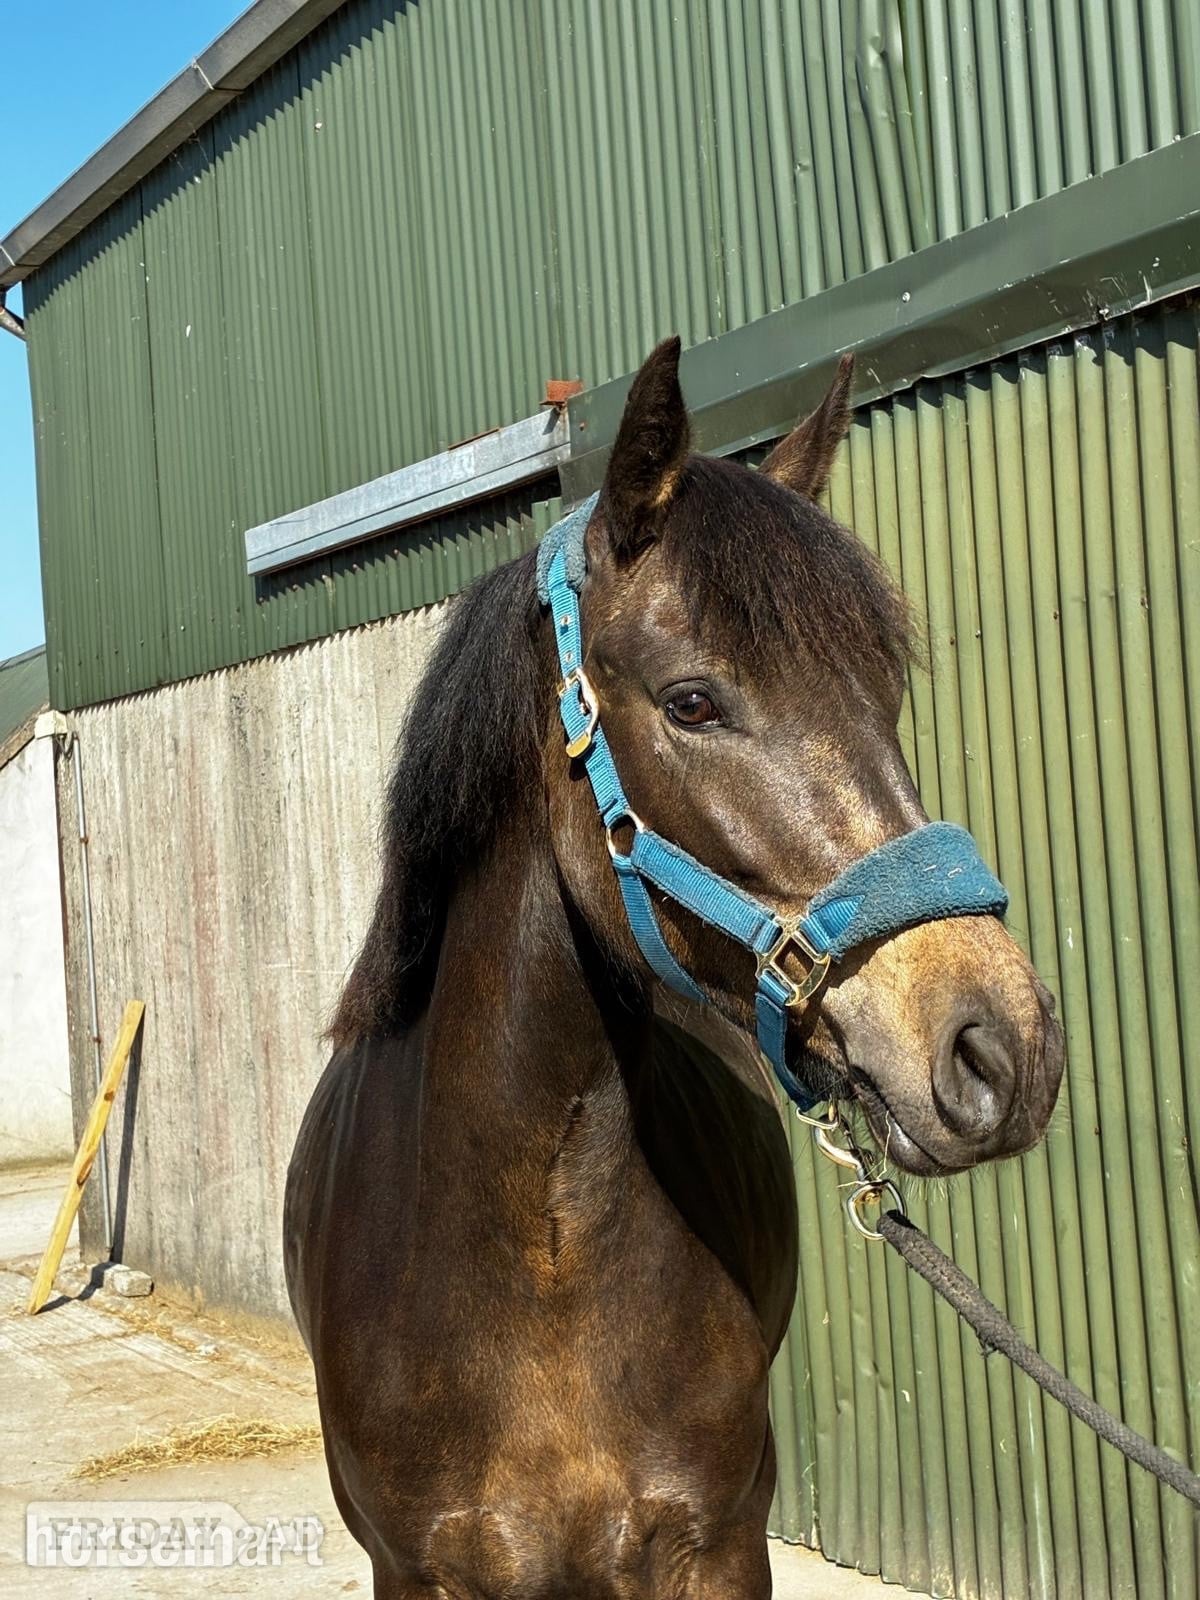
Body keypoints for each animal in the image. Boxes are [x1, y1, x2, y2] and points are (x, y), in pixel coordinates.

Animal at [284, 337, 1064, 1599]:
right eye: (693, 701)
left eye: (886, 693)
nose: (1005, 1042)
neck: (537, 1251)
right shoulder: (419, 1568)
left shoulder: (717, 1542)